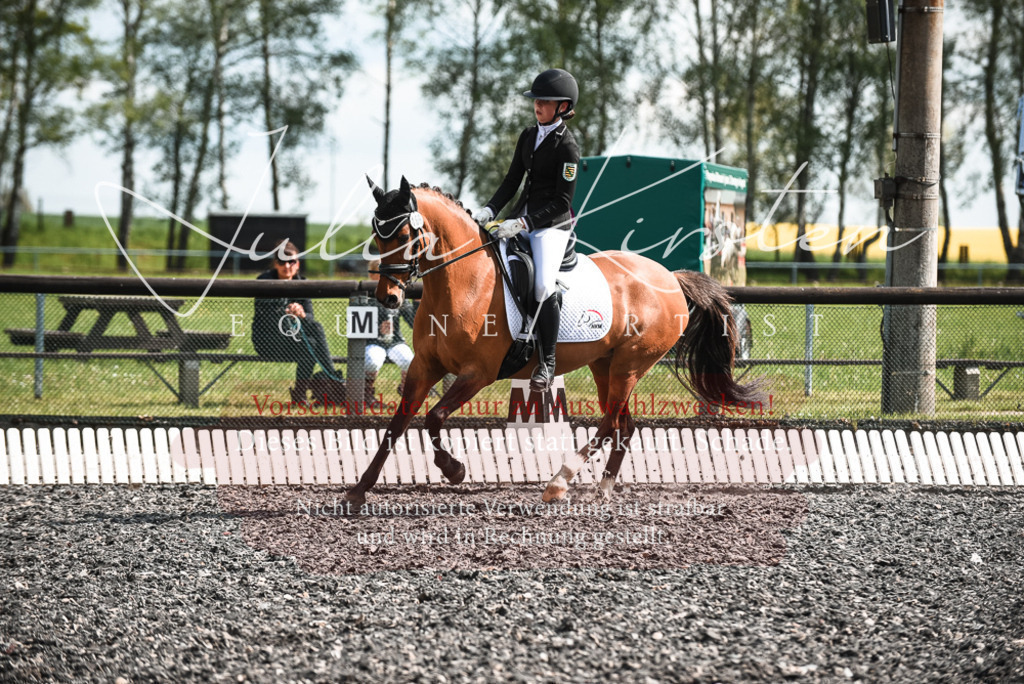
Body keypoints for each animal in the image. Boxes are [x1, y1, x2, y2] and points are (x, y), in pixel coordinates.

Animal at [345, 176, 762, 506]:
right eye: (375, 235)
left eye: (403, 235)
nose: (388, 298)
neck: (464, 280)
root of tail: (670, 277)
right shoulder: (424, 366)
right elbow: (397, 425)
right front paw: (360, 489)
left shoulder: (477, 373)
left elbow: (432, 418)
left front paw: (454, 470)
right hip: (606, 364)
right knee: (623, 424)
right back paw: (602, 489)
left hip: (631, 364)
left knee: (610, 422)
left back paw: (559, 482)